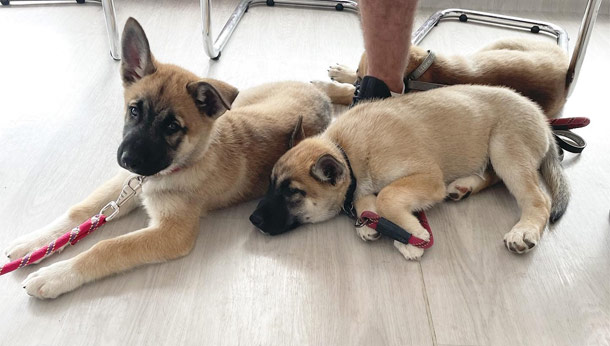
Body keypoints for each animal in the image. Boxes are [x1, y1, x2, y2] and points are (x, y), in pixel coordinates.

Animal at [3, 16, 332, 298]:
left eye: (172, 126)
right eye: (134, 110)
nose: (128, 160)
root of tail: (321, 95)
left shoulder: (172, 232)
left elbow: (109, 247)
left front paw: (55, 275)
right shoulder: (124, 184)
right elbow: (79, 212)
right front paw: (33, 244)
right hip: (241, 103)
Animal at [249, 84, 568, 260]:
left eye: (293, 193)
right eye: (271, 184)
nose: (253, 220)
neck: (346, 149)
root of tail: (543, 118)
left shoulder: (427, 177)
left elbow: (388, 196)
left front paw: (412, 236)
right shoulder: (361, 184)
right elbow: (367, 200)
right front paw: (369, 223)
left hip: (505, 150)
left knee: (537, 198)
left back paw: (524, 230)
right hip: (495, 154)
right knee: (491, 176)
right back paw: (463, 186)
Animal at [312, 37, 568, 117]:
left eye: (360, 75)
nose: (356, 75)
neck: (417, 72)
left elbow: (347, 92)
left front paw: (325, 88)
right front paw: (340, 72)